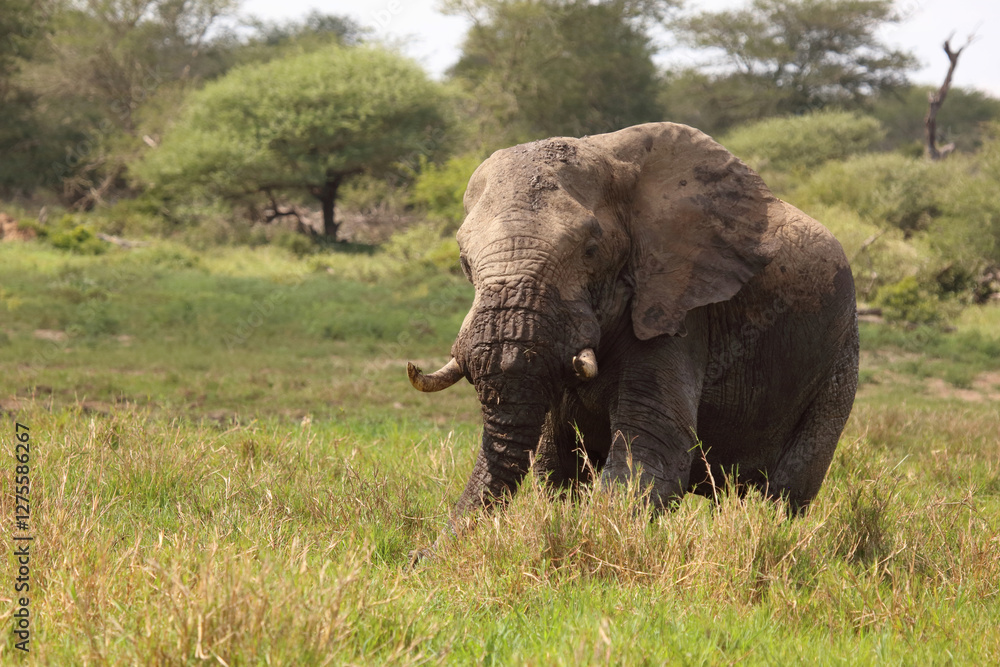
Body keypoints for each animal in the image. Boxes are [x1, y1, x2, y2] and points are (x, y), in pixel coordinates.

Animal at [407, 122, 859, 535]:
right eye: (464, 262)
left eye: (590, 250)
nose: (419, 558)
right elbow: (555, 460)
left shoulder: (676, 307)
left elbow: (651, 451)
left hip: (839, 355)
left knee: (790, 486)